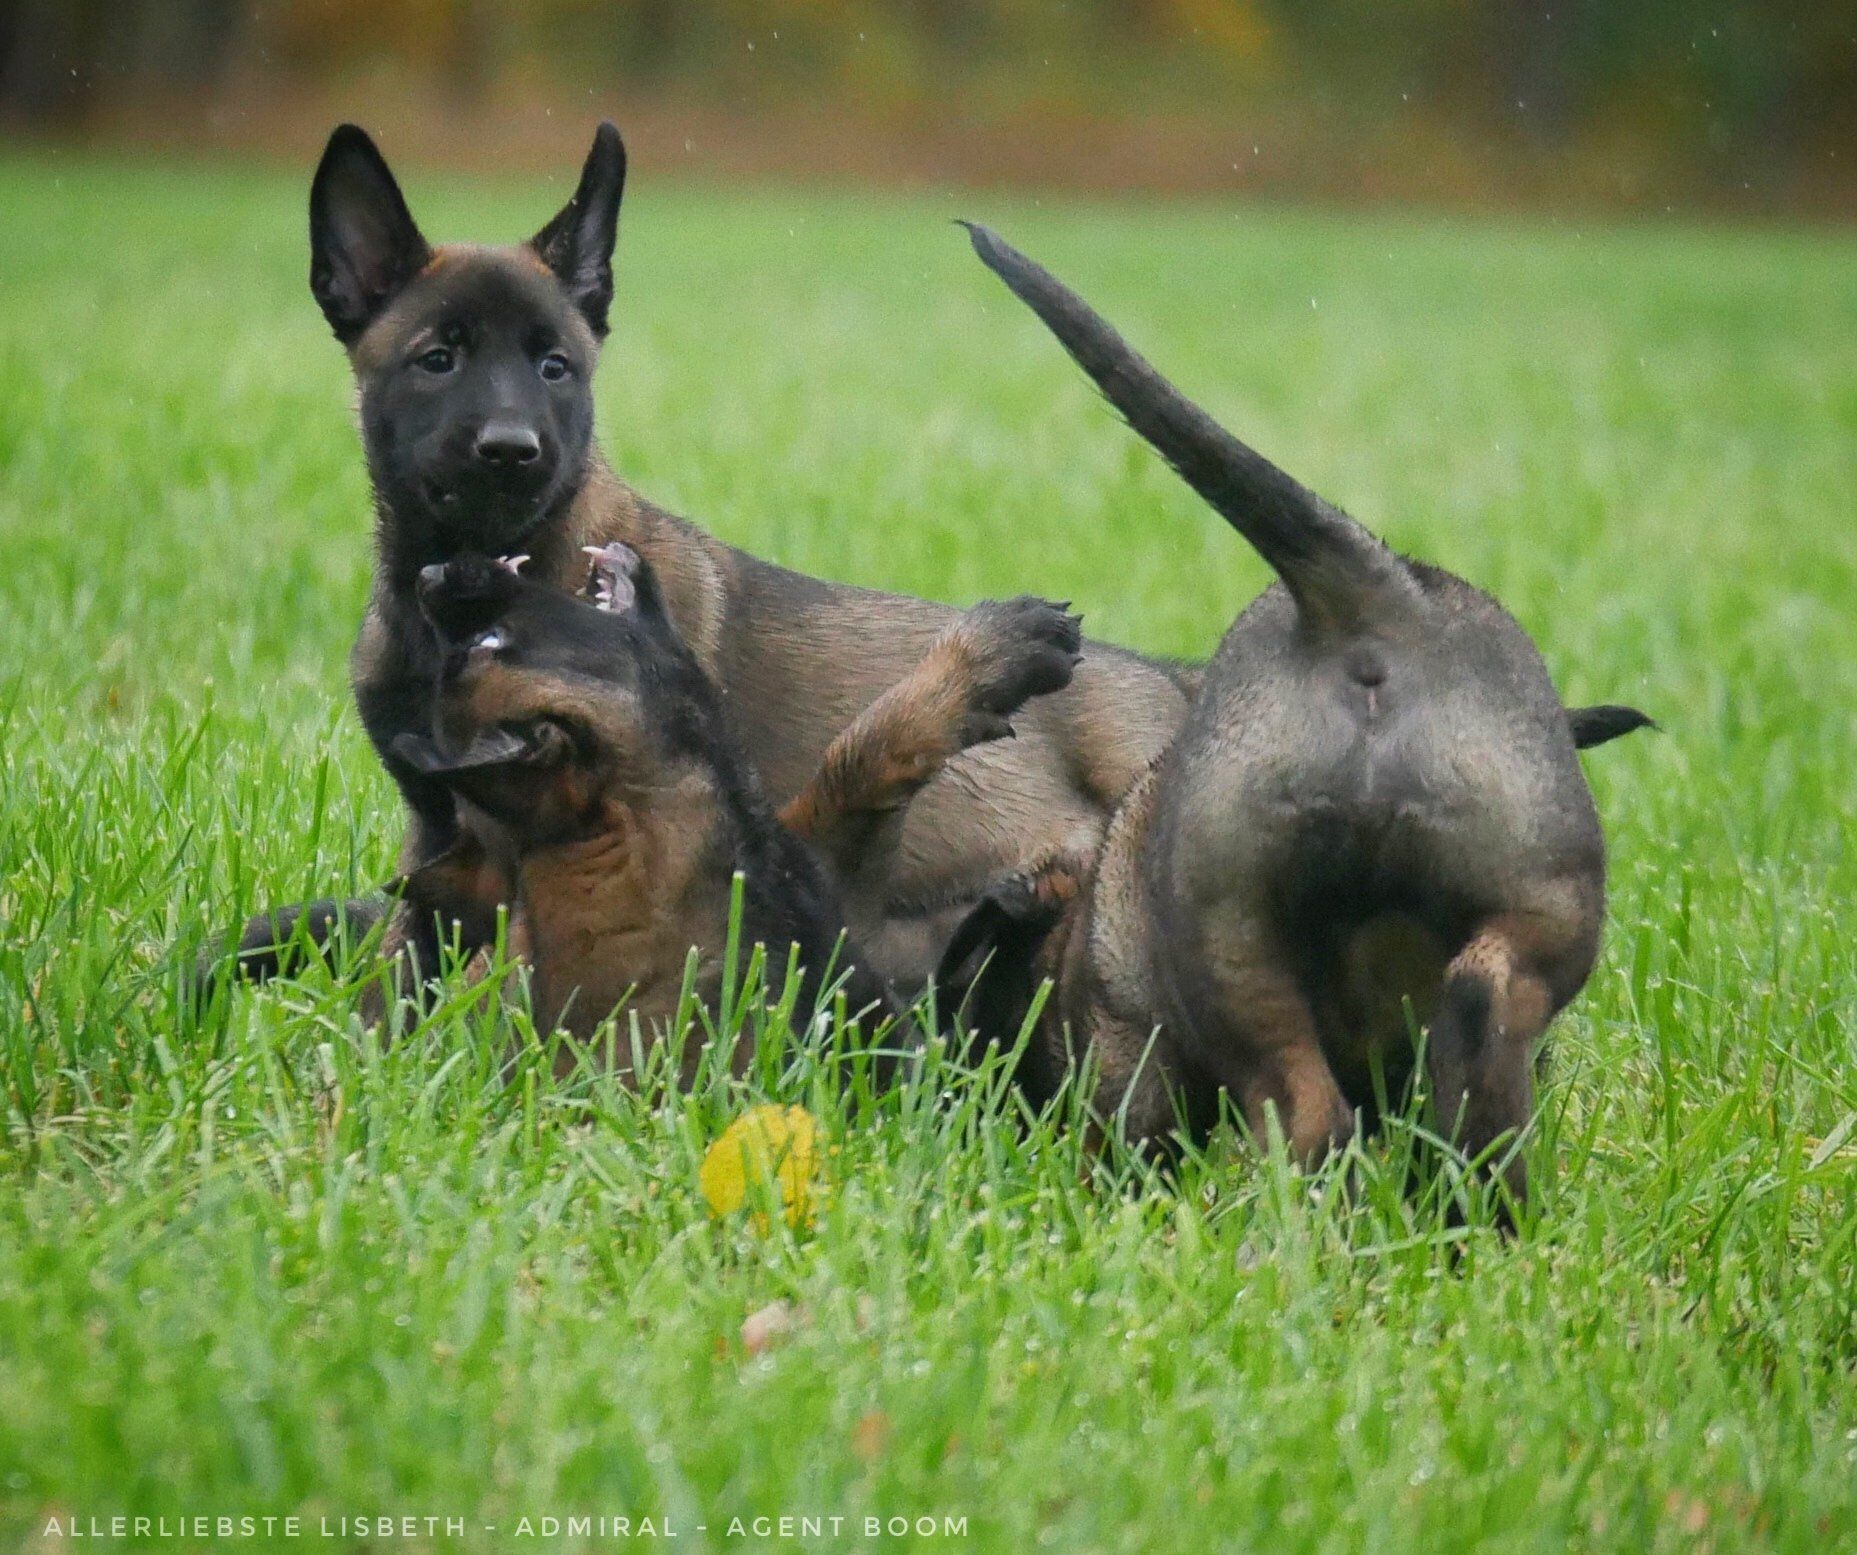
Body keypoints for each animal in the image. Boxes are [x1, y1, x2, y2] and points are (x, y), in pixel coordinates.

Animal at [941, 225, 1652, 1206]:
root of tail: (1371, 599)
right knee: (1470, 1023)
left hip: (1236, 960)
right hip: (1531, 910)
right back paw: (1470, 1216)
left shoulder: (1128, 1059)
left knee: (1314, 1112)